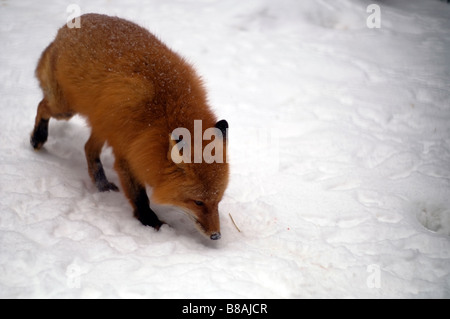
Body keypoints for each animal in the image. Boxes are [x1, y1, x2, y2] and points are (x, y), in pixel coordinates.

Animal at [30, 13, 229, 241]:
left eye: (218, 200)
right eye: (198, 202)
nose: (216, 236)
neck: (162, 115)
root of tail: (66, 27)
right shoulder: (128, 153)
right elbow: (139, 196)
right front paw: (150, 221)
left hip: (102, 124)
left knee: (88, 149)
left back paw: (102, 185)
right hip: (65, 110)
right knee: (42, 106)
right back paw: (37, 138)